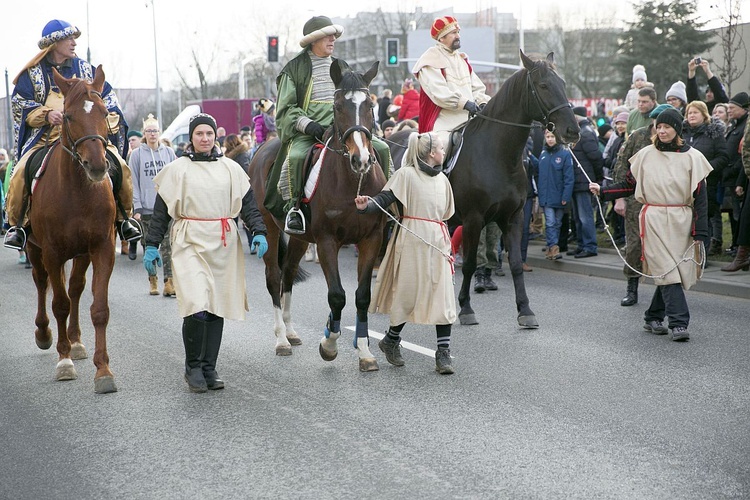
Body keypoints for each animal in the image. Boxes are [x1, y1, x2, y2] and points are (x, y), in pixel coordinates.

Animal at [25, 66, 118, 394]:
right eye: (67, 116)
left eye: (104, 111)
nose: (97, 166)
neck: (78, 191)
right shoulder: (52, 253)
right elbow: (59, 304)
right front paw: (63, 361)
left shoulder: (101, 248)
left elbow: (98, 308)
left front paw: (103, 371)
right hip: (35, 249)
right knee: (42, 284)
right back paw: (45, 334)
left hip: (80, 253)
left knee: (76, 288)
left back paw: (76, 342)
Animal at [250, 59, 388, 372]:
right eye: (337, 106)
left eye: (370, 105)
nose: (361, 159)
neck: (352, 182)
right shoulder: (327, 242)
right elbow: (337, 296)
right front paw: (329, 345)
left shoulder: (371, 239)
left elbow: (362, 297)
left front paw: (365, 352)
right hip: (269, 226)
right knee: (274, 276)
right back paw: (281, 339)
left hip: (300, 238)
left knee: (288, 272)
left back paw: (290, 331)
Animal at [388, 49, 580, 324]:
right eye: (543, 85)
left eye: (563, 84)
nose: (573, 130)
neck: (498, 156)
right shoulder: (473, 219)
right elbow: (469, 263)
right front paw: (466, 308)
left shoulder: (512, 218)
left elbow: (516, 264)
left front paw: (525, 310)